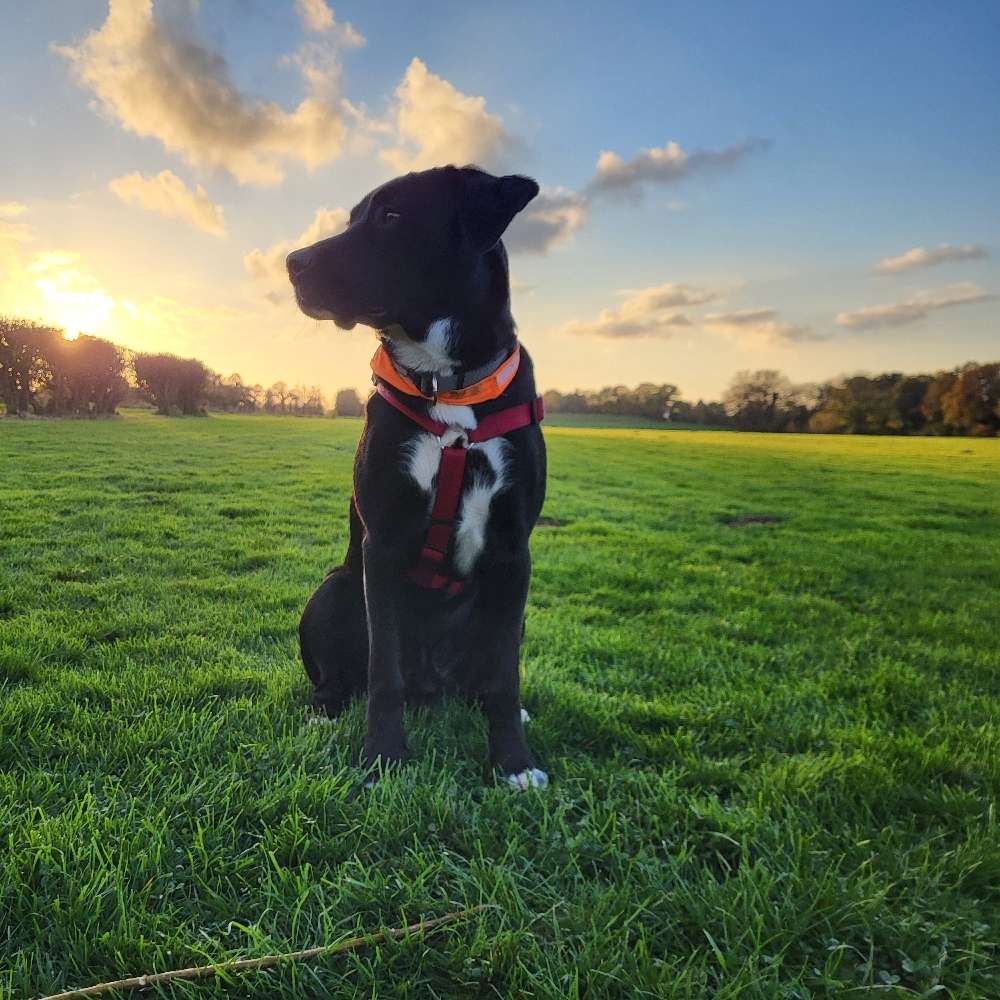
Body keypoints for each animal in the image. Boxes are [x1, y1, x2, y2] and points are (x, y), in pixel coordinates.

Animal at [286, 164, 552, 788]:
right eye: (353, 216)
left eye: (391, 216)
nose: (292, 262)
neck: (447, 383)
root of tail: (435, 685)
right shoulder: (381, 546)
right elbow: (384, 673)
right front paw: (383, 757)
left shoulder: (514, 553)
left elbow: (506, 679)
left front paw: (515, 762)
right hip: (335, 587)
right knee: (346, 679)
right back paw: (326, 713)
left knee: (488, 676)